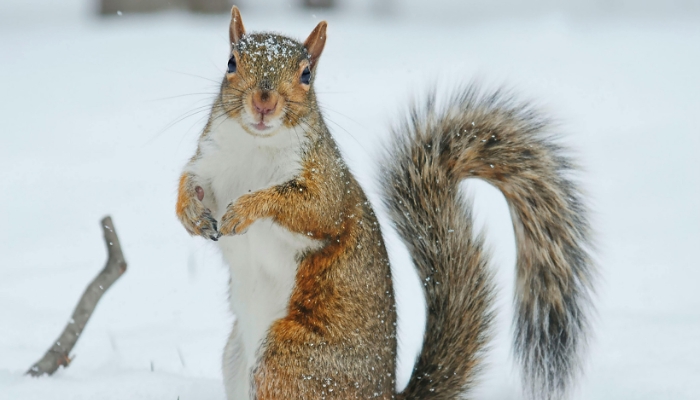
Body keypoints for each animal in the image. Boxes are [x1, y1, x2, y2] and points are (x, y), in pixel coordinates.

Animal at [175, 6, 595, 400]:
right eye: (231, 62)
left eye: (307, 74)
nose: (264, 103)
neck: (255, 146)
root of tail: (384, 394)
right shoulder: (211, 164)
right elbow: (189, 184)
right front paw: (190, 214)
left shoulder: (327, 184)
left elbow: (312, 210)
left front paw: (246, 209)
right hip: (237, 357)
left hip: (291, 361)